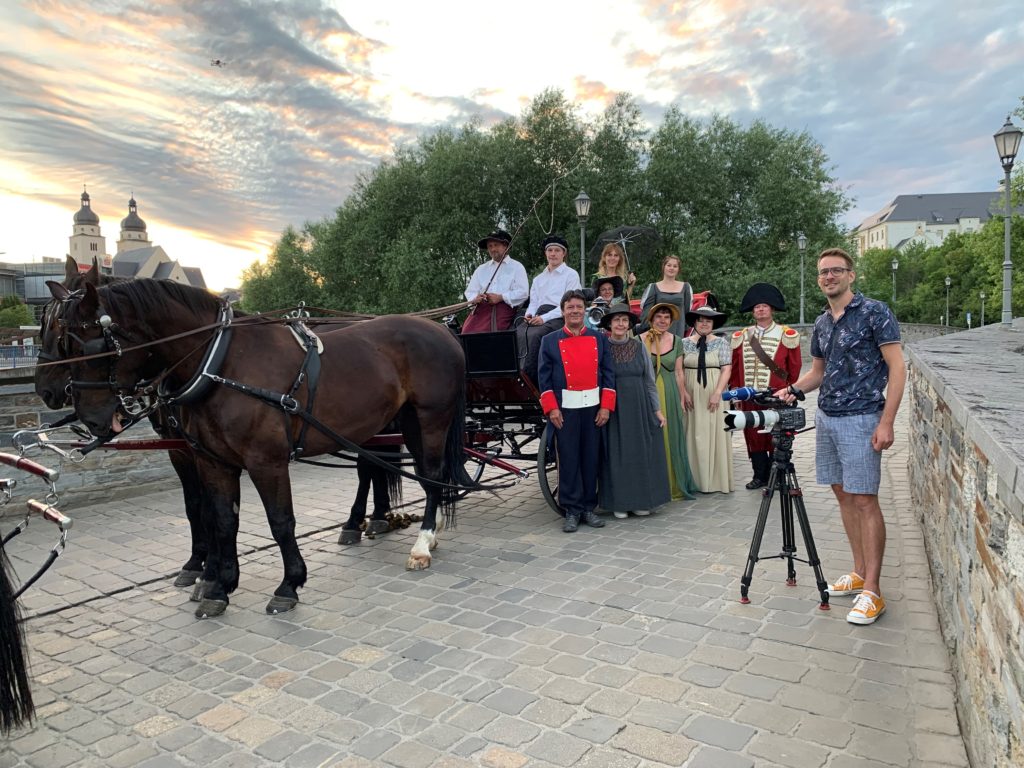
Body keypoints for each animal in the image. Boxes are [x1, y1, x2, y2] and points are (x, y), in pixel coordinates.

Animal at [44, 276, 468, 618]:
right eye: (62, 342)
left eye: (90, 346)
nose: (90, 418)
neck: (220, 364)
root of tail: (441, 329)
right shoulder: (212, 461)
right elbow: (221, 519)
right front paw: (218, 586)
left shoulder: (266, 461)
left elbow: (280, 521)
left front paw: (288, 584)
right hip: (407, 422)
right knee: (418, 473)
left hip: (431, 418)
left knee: (430, 475)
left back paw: (422, 542)